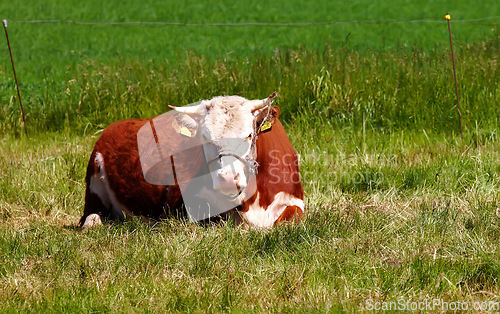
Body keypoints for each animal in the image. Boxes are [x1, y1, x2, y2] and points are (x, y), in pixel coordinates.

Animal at [79, 92, 304, 228]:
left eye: (249, 135)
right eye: (204, 137)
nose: (227, 178)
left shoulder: (295, 201)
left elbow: (291, 214)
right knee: (91, 218)